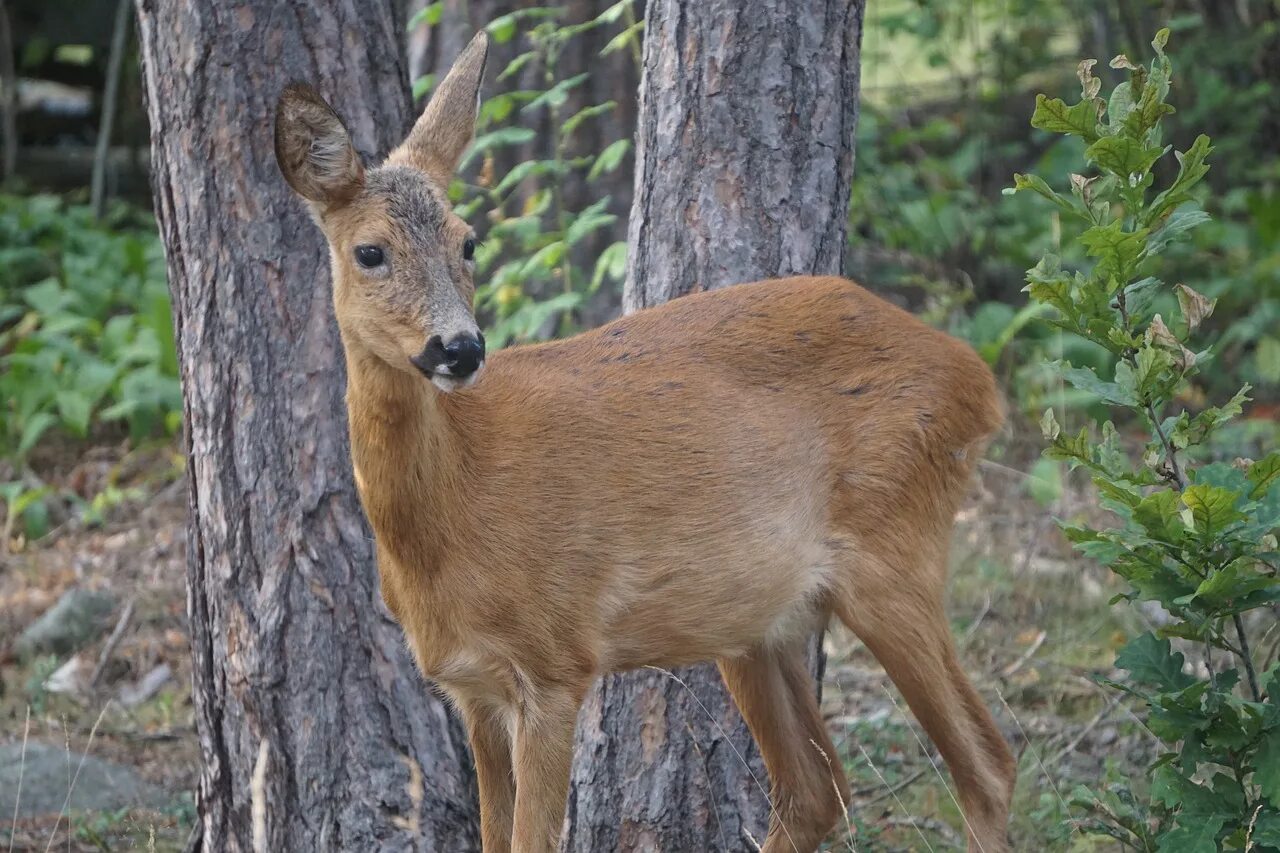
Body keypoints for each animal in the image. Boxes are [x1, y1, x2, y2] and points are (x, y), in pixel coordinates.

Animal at [275, 31, 1013, 850]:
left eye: (468, 241)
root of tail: (978, 380)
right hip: (754, 623)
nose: (460, 349)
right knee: (817, 790)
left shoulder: (556, 661)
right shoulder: (472, 686)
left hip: (894, 554)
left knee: (987, 767)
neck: (449, 518)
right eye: (369, 252)